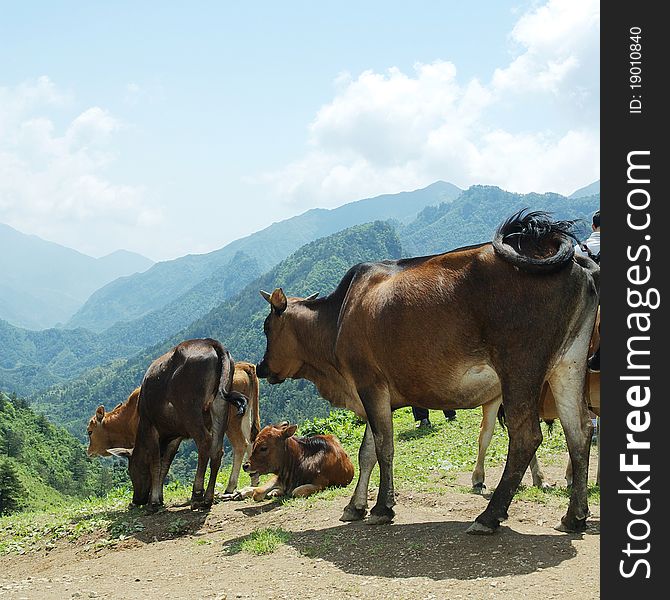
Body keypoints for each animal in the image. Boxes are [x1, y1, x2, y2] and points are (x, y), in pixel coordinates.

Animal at [84, 360, 262, 496]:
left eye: (90, 431)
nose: (88, 451)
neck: (130, 415)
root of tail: (244, 366)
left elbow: (157, 464)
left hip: (231, 421)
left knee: (241, 445)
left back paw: (230, 486)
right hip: (244, 416)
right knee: (252, 439)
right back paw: (254, 479)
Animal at [109, 340, 248, 508]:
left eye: (131, 469)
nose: (137, 500)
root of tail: (212, 343)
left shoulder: (150, 426)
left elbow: (156, 462)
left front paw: (154, 501)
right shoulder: (177, 435)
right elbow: (165, 464)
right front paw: (159, 497)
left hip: (190, 409)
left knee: (204, 442)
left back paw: (197, 493)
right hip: (220, 405)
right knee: (217, 449)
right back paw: (208, 497)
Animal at [256, 212, 600, 536]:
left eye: (267, 327)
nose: (261, 368)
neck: (338, 319)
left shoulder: (369, 383)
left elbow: (383, 446)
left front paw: (382, 507)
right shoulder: (373, 394)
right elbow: (367, 452)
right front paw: (355, 506)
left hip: (520, 368)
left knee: (526, 436)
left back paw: (489, 516)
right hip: (568, 363)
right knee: (580, 430)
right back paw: (574, 516)